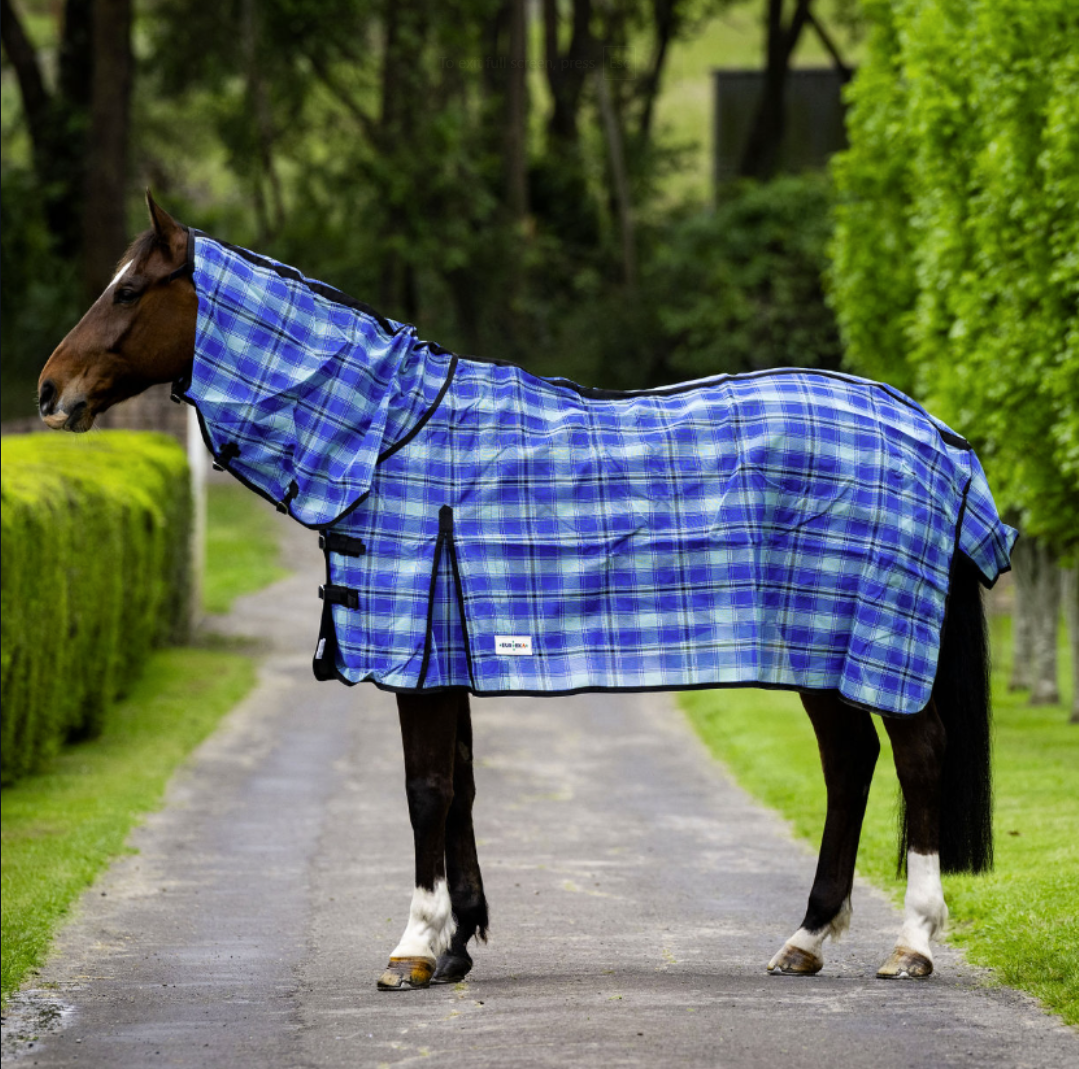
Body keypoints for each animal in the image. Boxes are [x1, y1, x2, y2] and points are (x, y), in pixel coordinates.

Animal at [33, 194, 1009, 996]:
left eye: (128, 291)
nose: (49, 391)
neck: (389, 435)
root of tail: (934, 435)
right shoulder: (447, 650)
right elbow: (461, 786)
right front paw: (459, 942)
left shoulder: (418, 656)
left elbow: (426, 789)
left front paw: (414, 946)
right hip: (818, 650)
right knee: (849, 765)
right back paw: (803, 939)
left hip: (874, 644)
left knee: (918, 759)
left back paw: (910, 944)